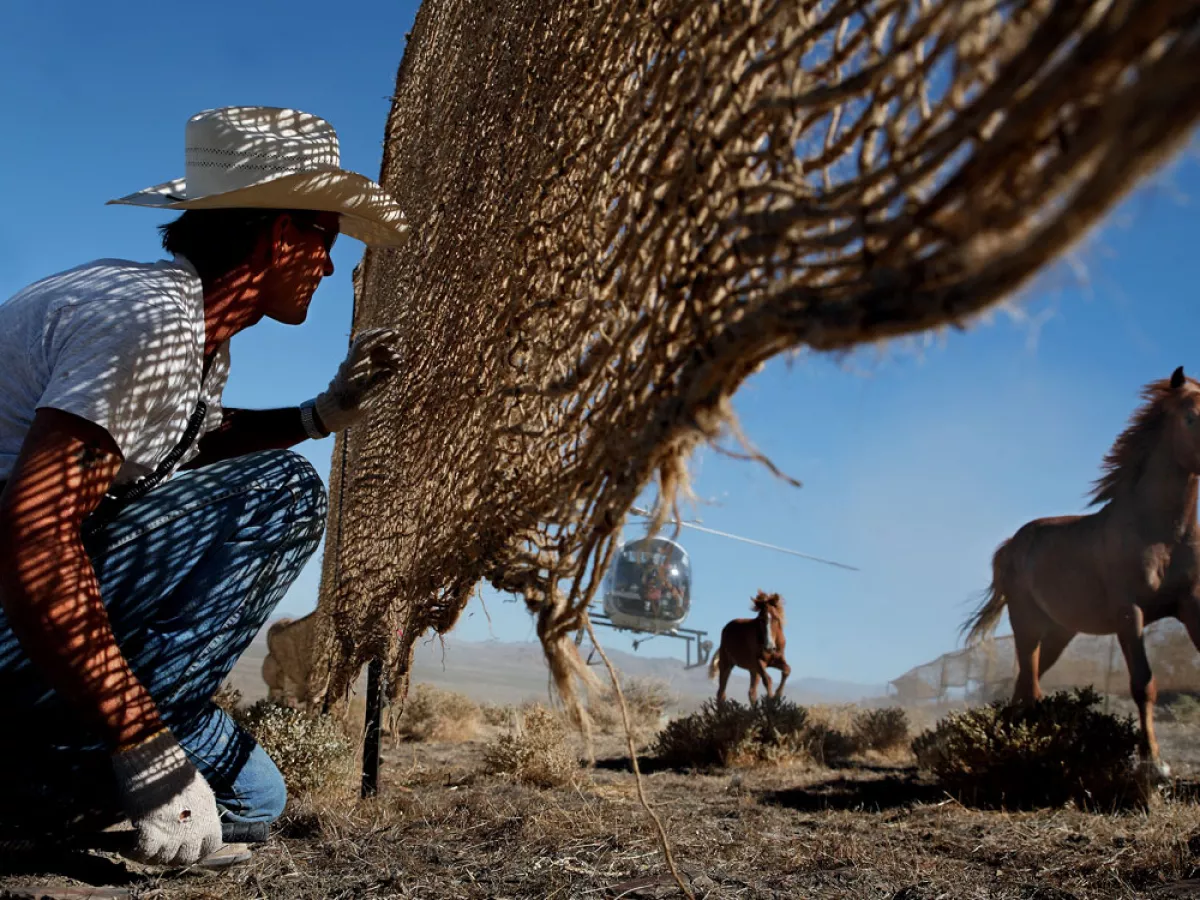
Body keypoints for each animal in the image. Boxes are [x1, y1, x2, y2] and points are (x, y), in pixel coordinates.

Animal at [960, 367, 1200, 782]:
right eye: (1190, 416)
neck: (1159, 534)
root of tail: (1011, 545)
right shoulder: (1130, 612)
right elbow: (1143, 684)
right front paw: (1154, 764)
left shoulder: (1191, 603)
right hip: (1026, 623)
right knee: (1029, 685)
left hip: (1060, 632)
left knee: (1023, 684)